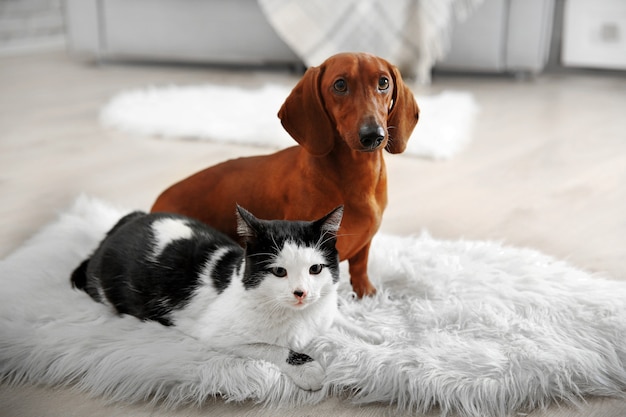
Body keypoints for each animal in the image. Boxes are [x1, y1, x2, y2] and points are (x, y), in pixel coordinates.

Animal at [70, 205, 378, 390]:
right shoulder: (218, 335)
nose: (301, 292)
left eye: (315, 269)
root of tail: (128, 219)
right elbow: (274, 348)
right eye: (279, 271)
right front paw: (310, 369)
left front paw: (371, 334)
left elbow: (336, 318)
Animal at [149, 52, 416, 298]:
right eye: (340, 85)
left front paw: (367, 294)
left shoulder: (364, 246)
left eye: (383, 82)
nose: (373, 135)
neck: (356, 176)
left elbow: (360, 267)